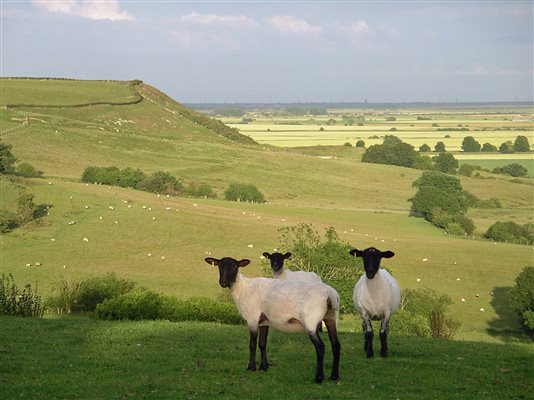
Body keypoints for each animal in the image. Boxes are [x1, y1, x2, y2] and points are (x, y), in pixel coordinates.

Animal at [205, 256, 344, 384]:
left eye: (234, 266)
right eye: (219, 266)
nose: (222, 282)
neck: (243, 289)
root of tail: (330, 294)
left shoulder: (252, 319)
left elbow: (252, 344)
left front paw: (251, 367)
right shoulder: (264, 321)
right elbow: (262, 344)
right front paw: (264, 367)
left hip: (311, 321)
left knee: (320, 347)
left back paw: (318, 378)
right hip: (331, 317)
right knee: (336, 345)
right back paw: (334, 376)